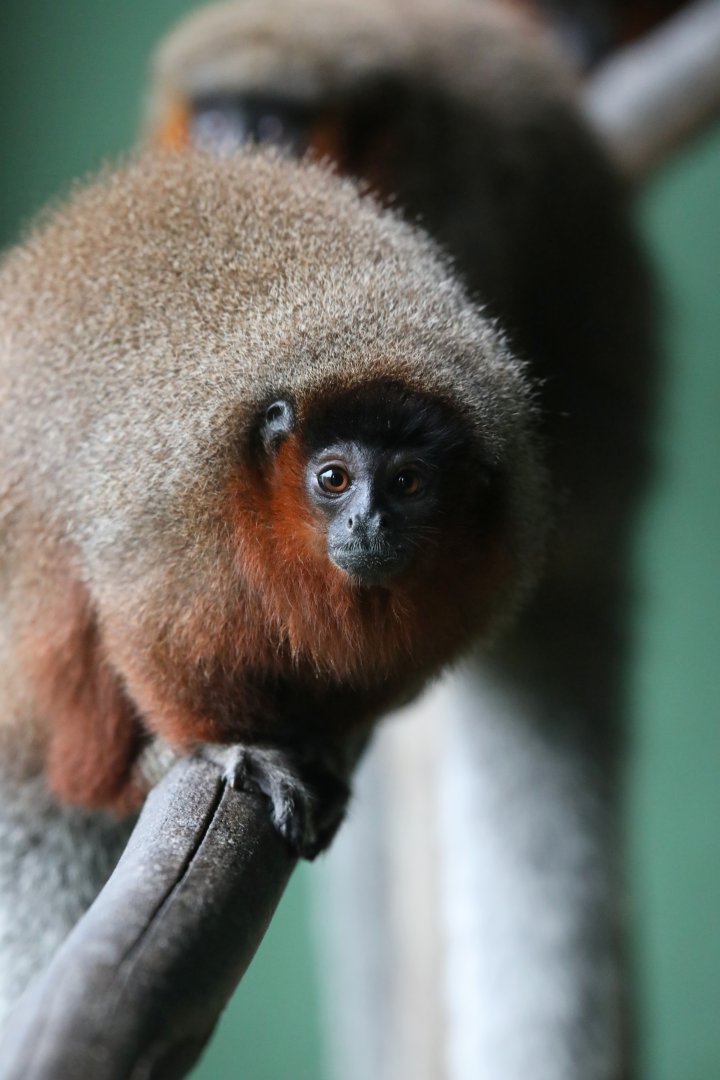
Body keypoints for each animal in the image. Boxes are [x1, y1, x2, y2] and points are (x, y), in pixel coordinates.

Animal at [0, 147, 546, 1026]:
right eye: (333, 479)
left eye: (408, 483)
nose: (368, 522)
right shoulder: (177, 498)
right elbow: (141, 618)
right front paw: (234, 744)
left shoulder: (498, 548)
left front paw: (322, 734)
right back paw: (114, 778)